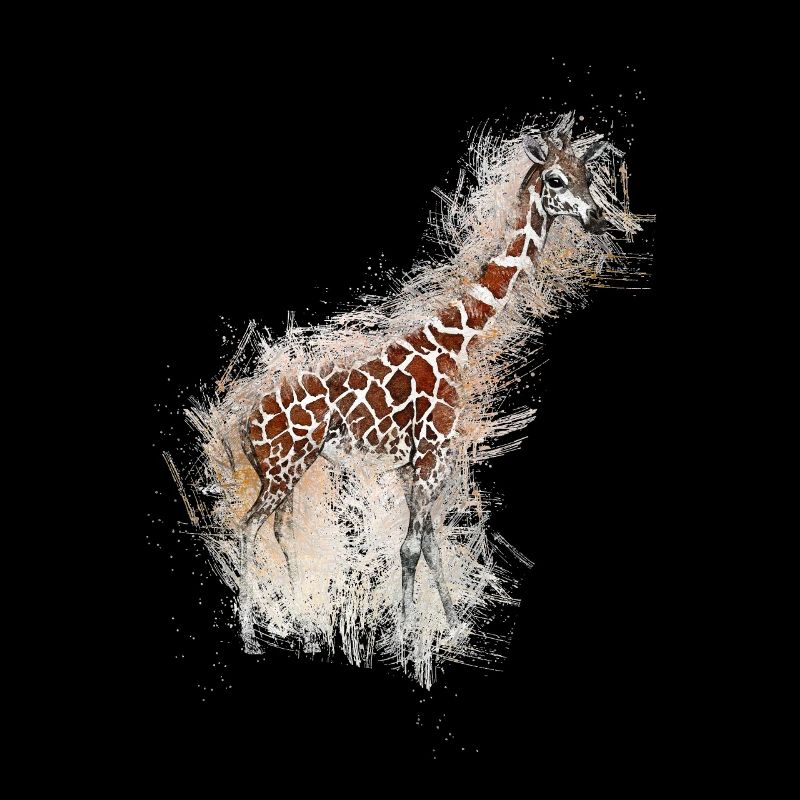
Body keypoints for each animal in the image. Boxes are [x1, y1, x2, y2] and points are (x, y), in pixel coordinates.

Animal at [235, 121, 610, 654]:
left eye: (589, 174)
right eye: (556, 179)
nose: (597, 218)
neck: (458, 338)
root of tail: (243, 425)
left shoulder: (416, 464)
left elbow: (430, 543)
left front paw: (450, 626)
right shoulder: (432, 454)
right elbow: (412, 545)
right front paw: (407, 637)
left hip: (290, 470)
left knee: (281, 530)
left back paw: (301, 623)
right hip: (282, 470)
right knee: (248, 529)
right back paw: (250, 635)